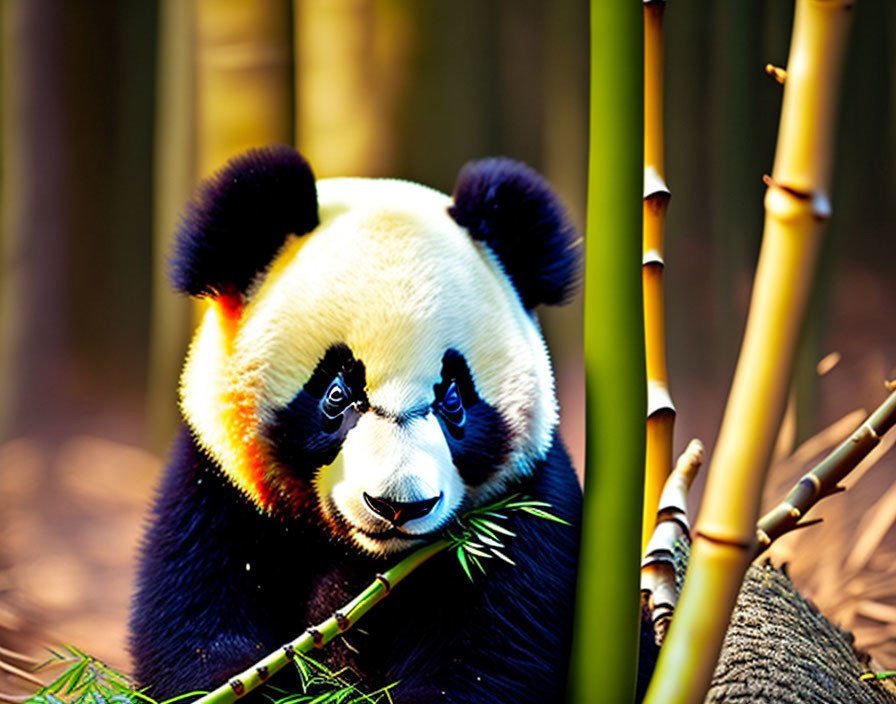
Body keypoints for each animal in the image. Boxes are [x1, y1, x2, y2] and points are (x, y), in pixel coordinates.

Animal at [130, 144, 584, 704]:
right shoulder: (218, 495)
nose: (398, 505)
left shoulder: (520, 520)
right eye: (337, 394)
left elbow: (487, 653)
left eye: (453, 399)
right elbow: (199, 628)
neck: (369, 558)